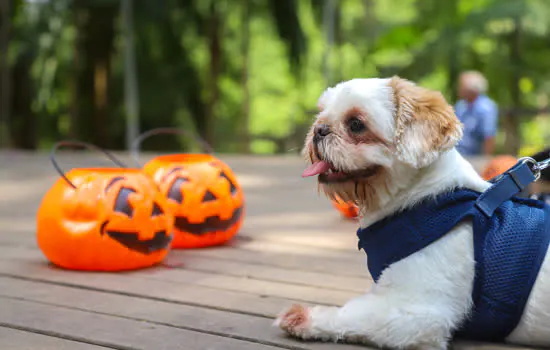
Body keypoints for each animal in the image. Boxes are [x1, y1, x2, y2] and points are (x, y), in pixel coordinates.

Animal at [276, 77, 550, 350]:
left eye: (356, 124)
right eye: (321, 113)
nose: (319, 129)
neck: (424, 199)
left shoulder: (416, 312)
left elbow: (354, 313)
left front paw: (306, 318)